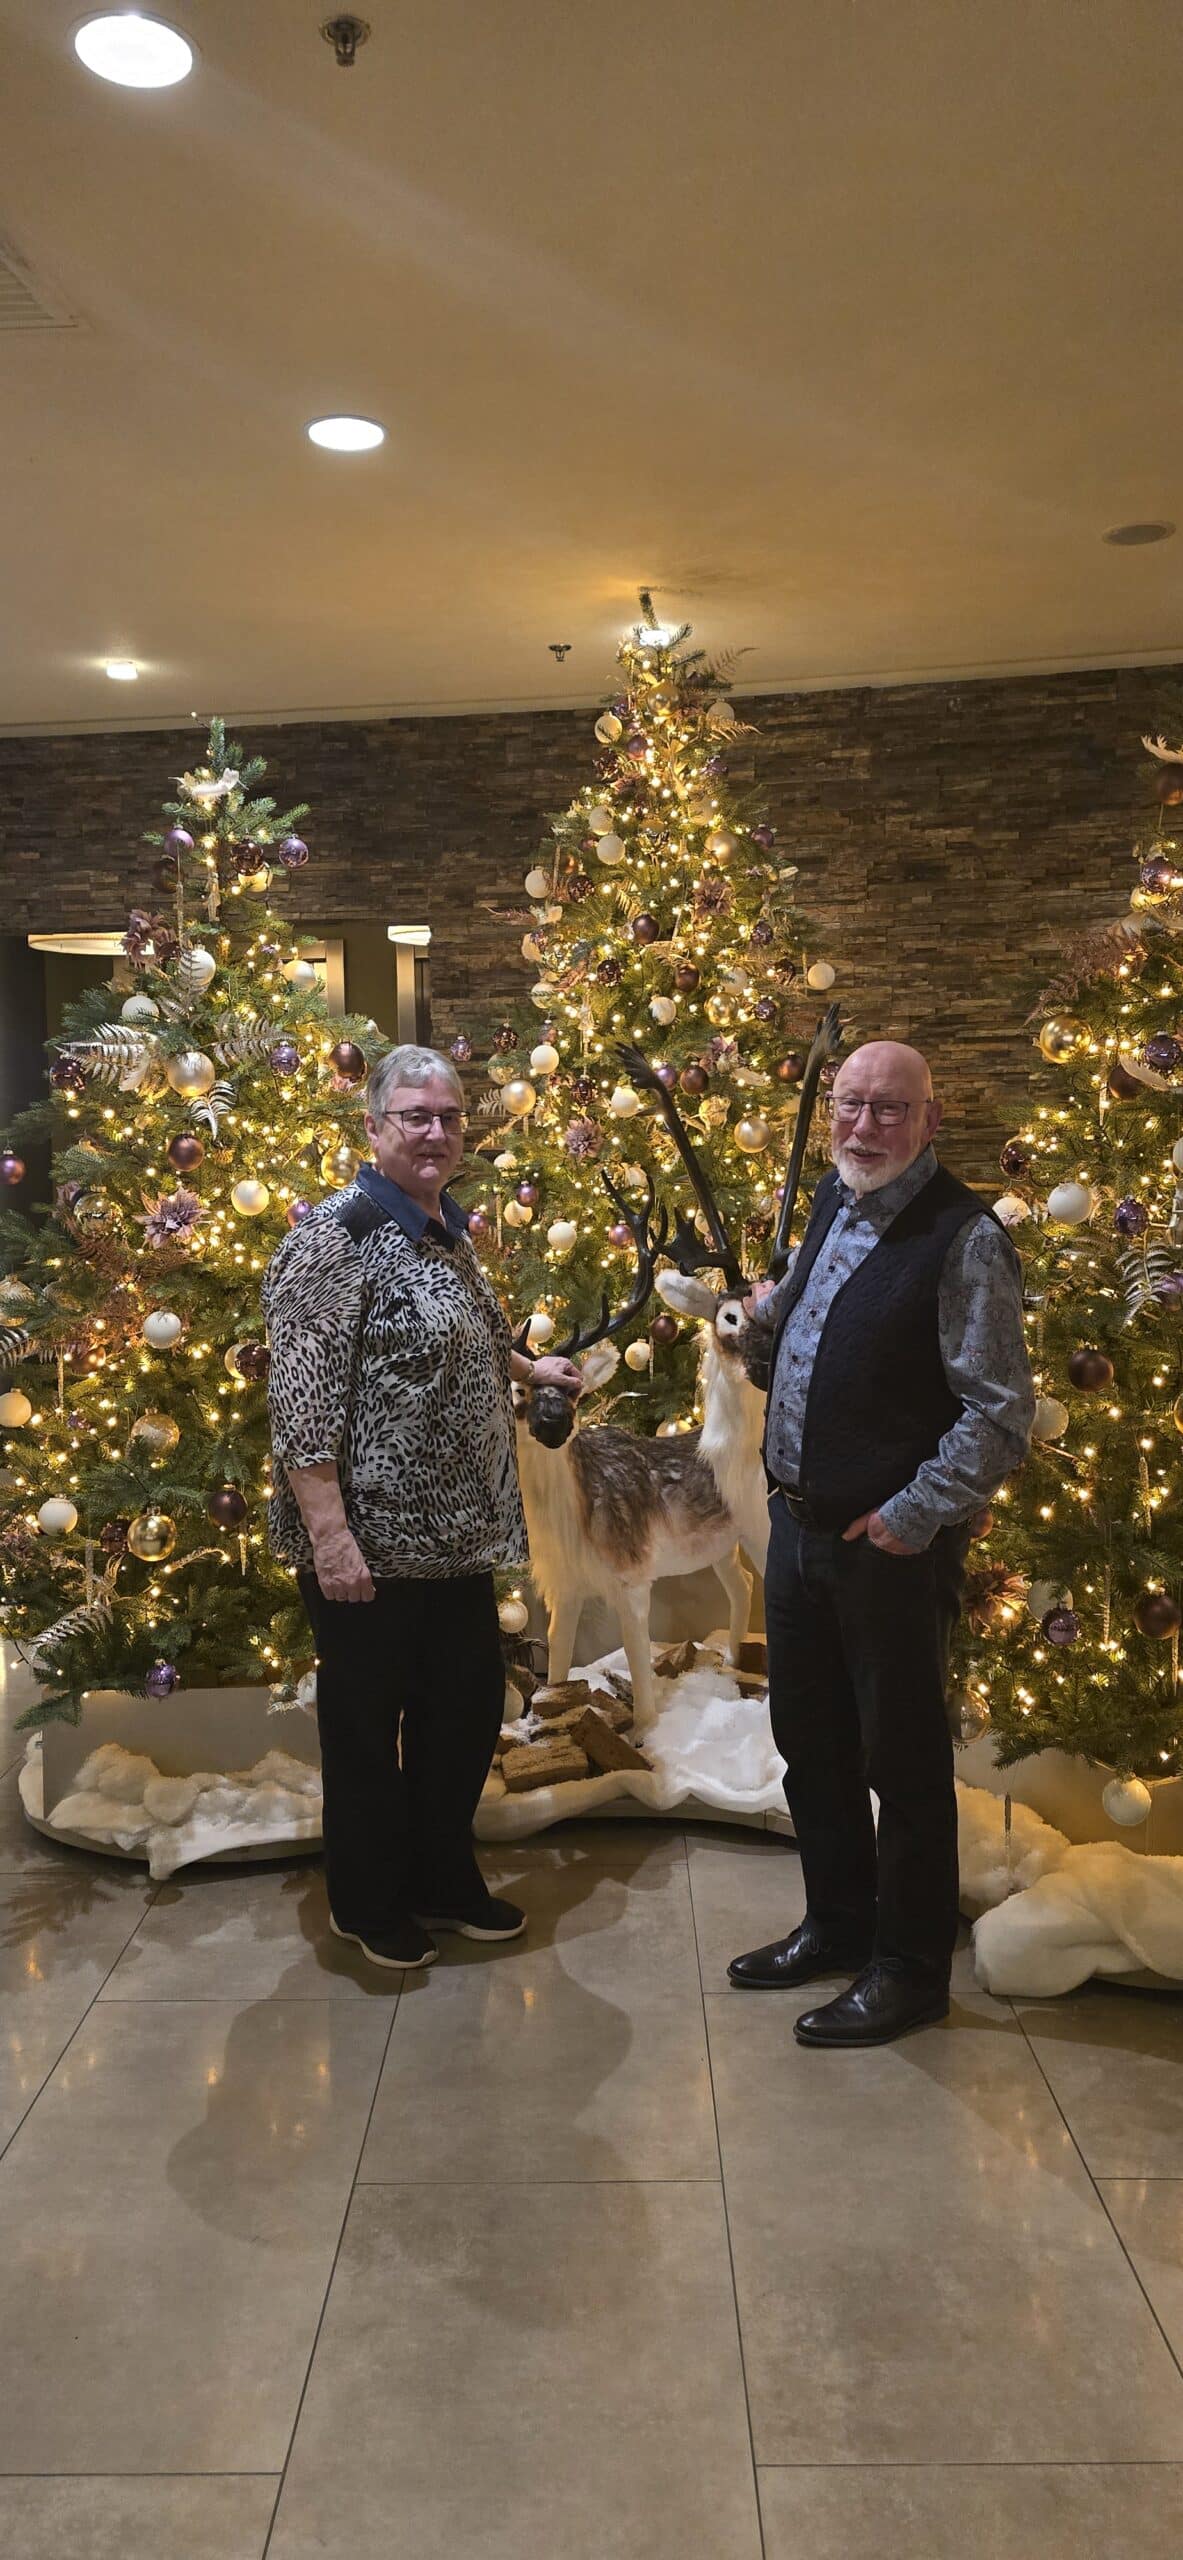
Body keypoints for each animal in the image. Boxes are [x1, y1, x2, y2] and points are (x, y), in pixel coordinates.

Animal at [512, 1005, 843, 1725]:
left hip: (749, 1540)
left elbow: (641, 1685)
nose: (552, 1426)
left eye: (573, 1395)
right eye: (518, 1398)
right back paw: (727, 1665)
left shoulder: (632, 1579)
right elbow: (557, 1669)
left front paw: (646, 1734)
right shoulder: (563, 1591)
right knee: (738, 1588)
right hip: (722, 1547)